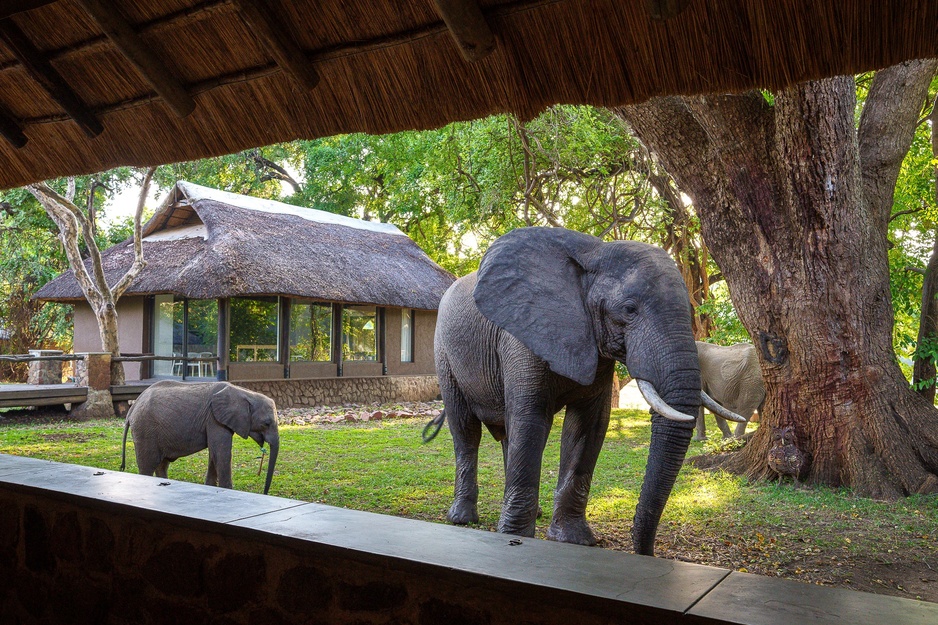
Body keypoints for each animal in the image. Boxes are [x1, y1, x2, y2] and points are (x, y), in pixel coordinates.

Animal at [120, 380, 280, 494]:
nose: (265, 493)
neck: (245, 393)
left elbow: (214, 454)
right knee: (147, 465)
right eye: (266, 423)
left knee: (162, 465)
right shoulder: (214, 419)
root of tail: (132, 409)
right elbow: (221, 454)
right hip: (145, 429)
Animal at [433, 226, 743, 556]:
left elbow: (588, 425)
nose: (646, 552)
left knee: (506, 433)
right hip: (444, 355)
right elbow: (530, 419)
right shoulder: (522, 335)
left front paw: (573, 539)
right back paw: (462, 518)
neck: (594, 252)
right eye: (629, 310)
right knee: (466, 431)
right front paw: (513, 537)